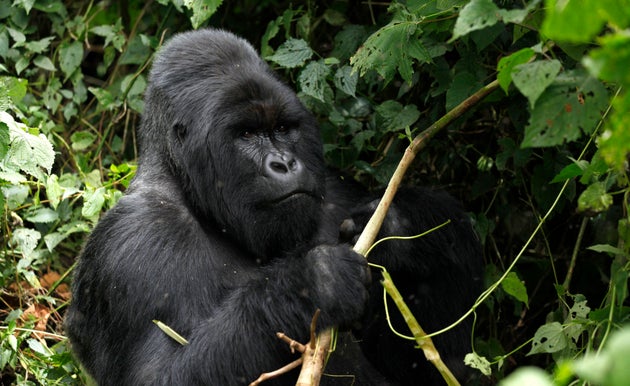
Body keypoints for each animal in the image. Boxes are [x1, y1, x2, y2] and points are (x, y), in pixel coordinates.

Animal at [66, 29, 484, 386]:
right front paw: (312, 283)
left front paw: (396, 227)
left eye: (282, 129)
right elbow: (156, 375)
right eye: (247, 134)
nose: (284, 163)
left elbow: (436, 363)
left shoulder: (334, 191)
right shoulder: (133, 241)